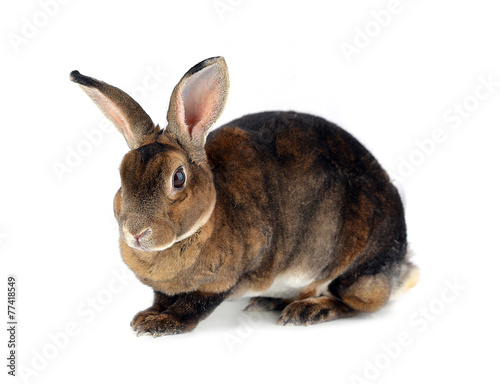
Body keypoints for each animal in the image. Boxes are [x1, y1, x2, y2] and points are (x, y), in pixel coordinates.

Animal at [68, 56, 416, 336]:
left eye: (178, 178)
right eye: (121, 176)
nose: (136, 233)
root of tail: (402, 266)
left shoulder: (228, 278)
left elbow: (194, 305)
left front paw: (159, 325)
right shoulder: (164, 289)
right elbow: (161, 298)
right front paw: (144, 316)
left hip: (356, 269)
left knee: (358, 303)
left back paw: (307, 311)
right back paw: (268, 302)